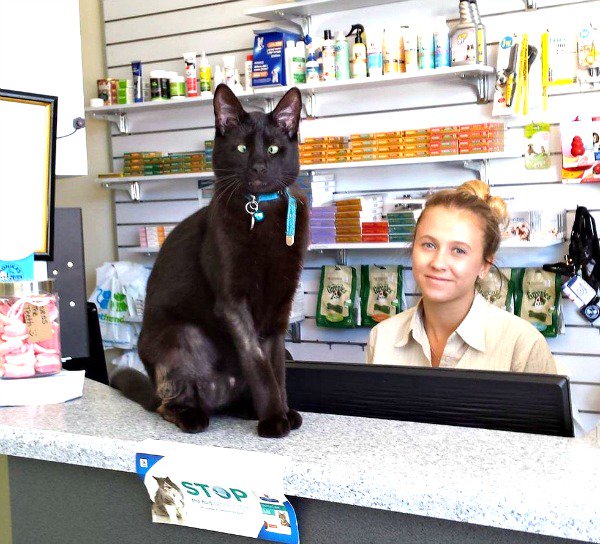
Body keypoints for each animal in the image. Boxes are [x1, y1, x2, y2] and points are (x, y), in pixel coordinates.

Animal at [112, 84, 308, 438]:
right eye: (242, 148)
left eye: (273, 149)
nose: (259, 167)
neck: (261, 211)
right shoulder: (233, 304)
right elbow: (258, 363)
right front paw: (275, 419)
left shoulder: (279, 306)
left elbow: (276, 365)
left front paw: (283, 411)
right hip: (181, 336)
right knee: (168, 404)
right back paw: (192, 414)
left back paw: (246, 409)